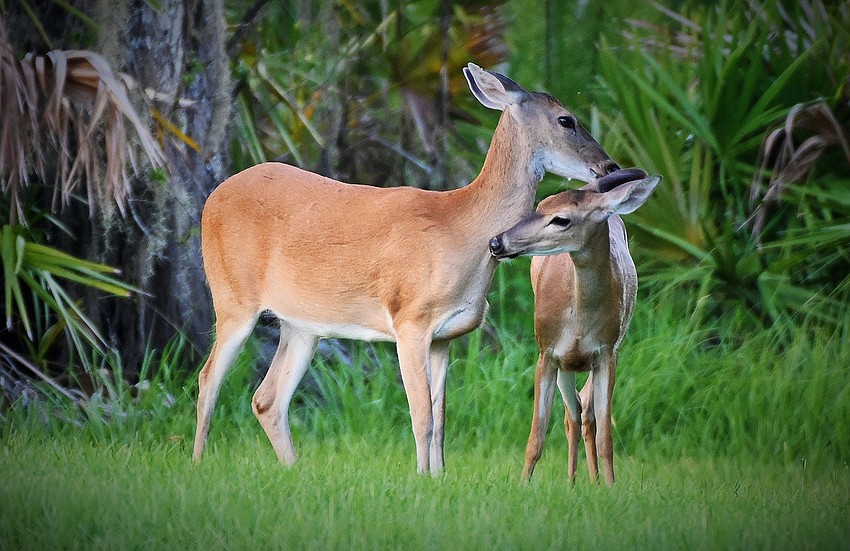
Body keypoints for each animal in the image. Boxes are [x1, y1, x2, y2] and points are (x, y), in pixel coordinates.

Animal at [193, 62, 621, 474]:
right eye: (566, 119)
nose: (609, 166)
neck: (461, 229)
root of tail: (213, 197)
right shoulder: (410, 321)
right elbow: (422, 417)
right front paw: (421, 478)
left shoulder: (446, 336)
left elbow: (442, 419)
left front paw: (439, 478)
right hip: (232, 298)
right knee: (208, 378)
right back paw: (198, 463)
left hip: (302, 324)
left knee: (267, 399)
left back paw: (293, 469)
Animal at [488, 169, 660, 485]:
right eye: (540, 205)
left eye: (562, 219)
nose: (496, 243)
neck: (580, 321)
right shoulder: (547, 353)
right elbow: (536, 437)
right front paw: (523, 485)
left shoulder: (607, 353)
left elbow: (605, 437)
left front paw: (610, 486)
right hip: (563, 362)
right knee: (573, 414)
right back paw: (571, 483)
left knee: (585, 413)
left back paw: (590, 480)